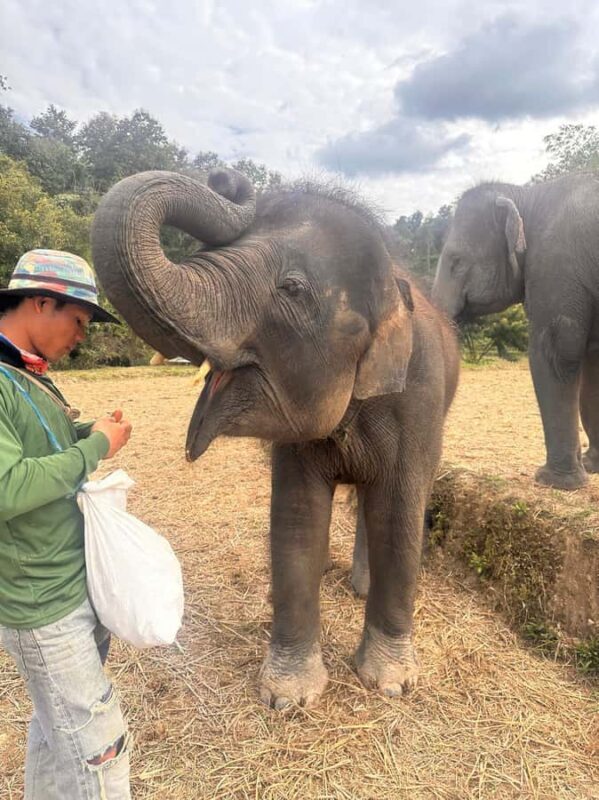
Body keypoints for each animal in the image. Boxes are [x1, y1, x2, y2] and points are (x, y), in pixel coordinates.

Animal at [91, 169, 460, 707]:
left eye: (292, 287)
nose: (225, 177)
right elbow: (297, 517)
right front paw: (288, 697)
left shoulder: (419, 401)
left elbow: (398, 512)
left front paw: (390, 683)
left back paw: (361, 589)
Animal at [432, 174, 599, 490]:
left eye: (456, 261)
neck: (528, 196)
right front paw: (590, 466)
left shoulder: (556, 268)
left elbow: (558, 353)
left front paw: (554, 482)